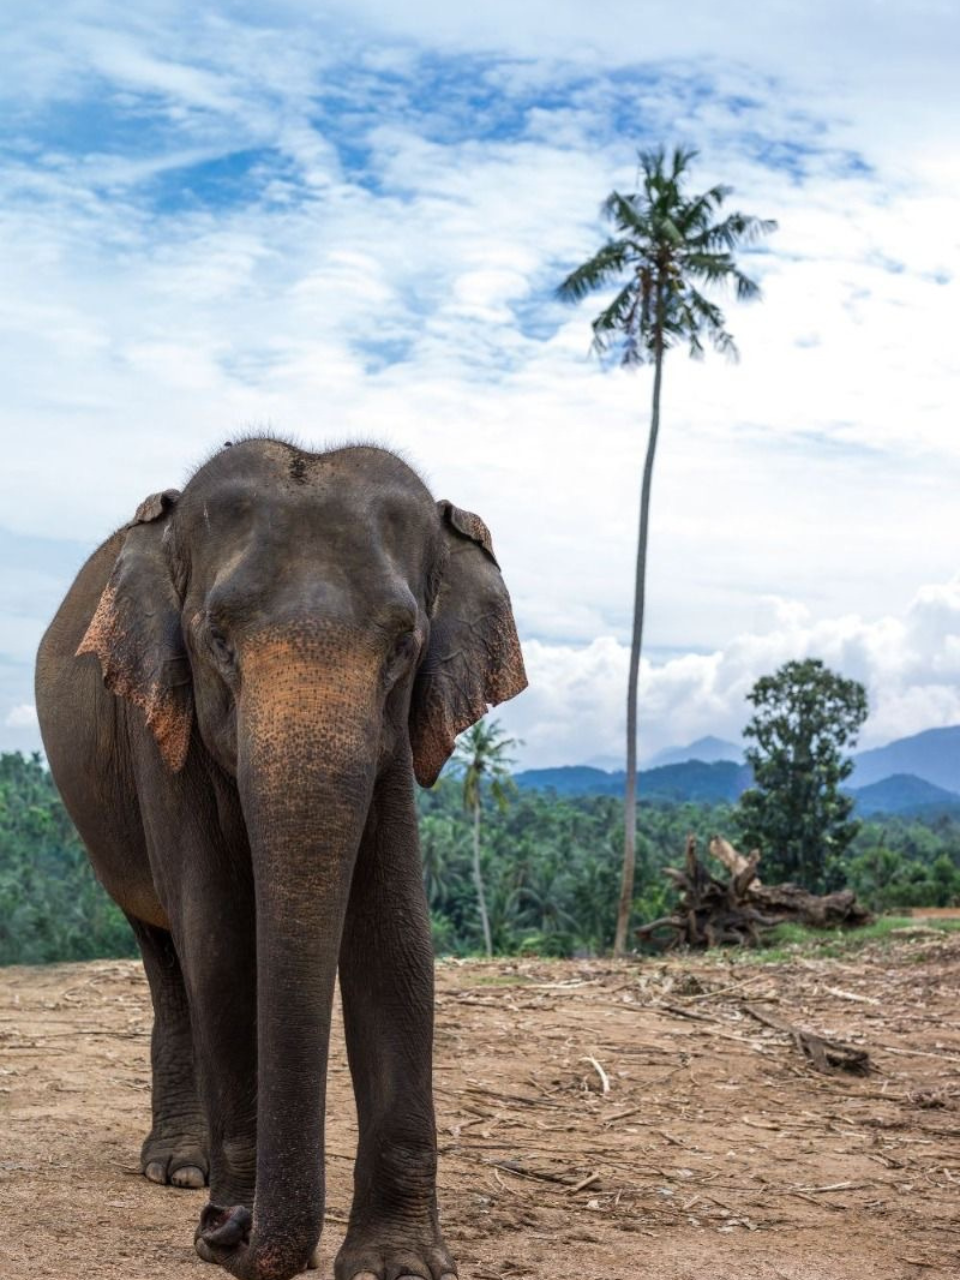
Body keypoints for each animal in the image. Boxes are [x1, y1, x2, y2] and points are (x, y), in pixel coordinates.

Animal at [35, 438, 527, 1280]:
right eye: (217, 639)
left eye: (405, 644)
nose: (223, 1226)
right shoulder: (163, 727)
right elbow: (220, 938)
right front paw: (233, 1207)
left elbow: (395, 940)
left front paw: (397, 1266)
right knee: (166, 953)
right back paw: (181, 1169)